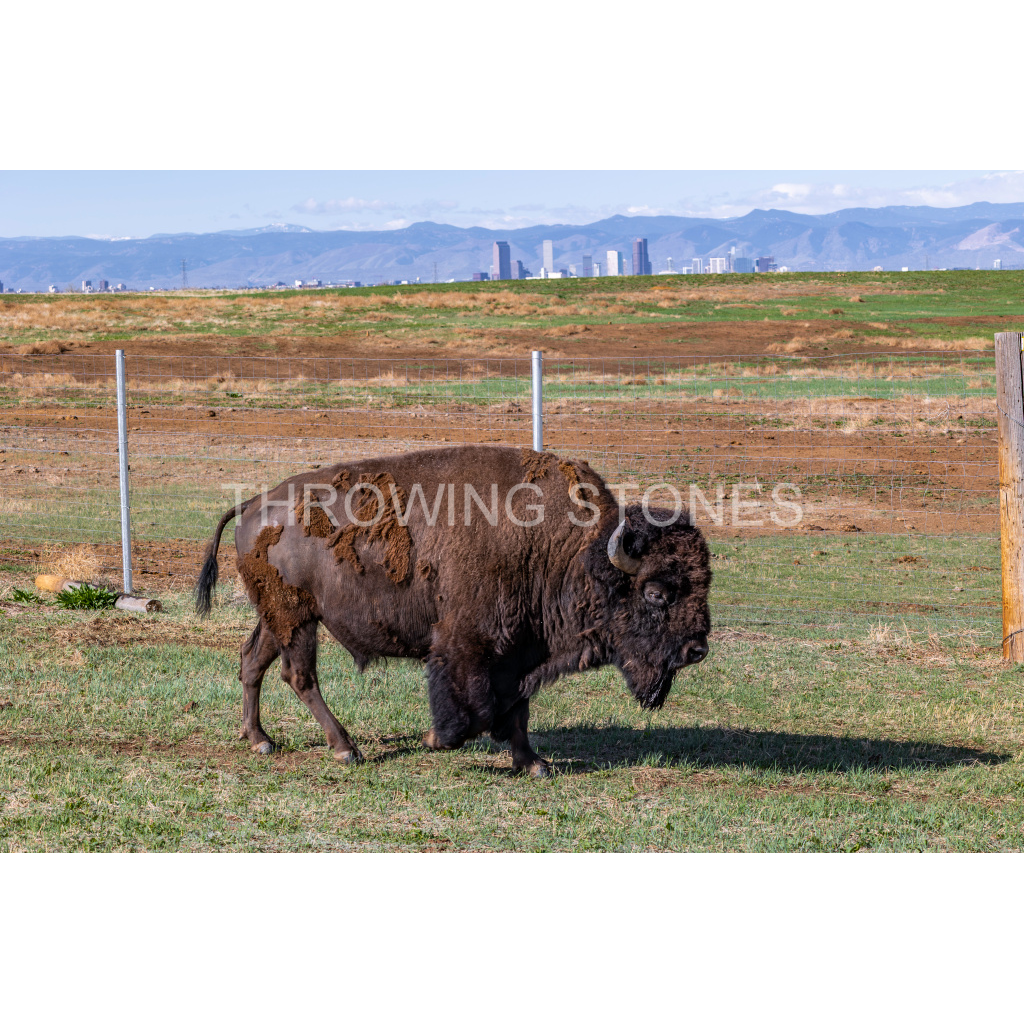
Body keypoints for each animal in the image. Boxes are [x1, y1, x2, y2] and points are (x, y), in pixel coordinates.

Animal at [196, 445, 711, 777]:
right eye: (656, 593)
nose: (697, 650)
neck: (568, 550)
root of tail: (253, 504)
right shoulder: (466, 648)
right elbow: (476, 709)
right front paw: (435, 740)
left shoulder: (520, 651)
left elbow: (518, 709)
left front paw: (535, 765)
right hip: (298, 619)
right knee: (299, 676)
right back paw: (346, 750)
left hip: (278, 617)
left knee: (252, 662)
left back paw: (260, 740)